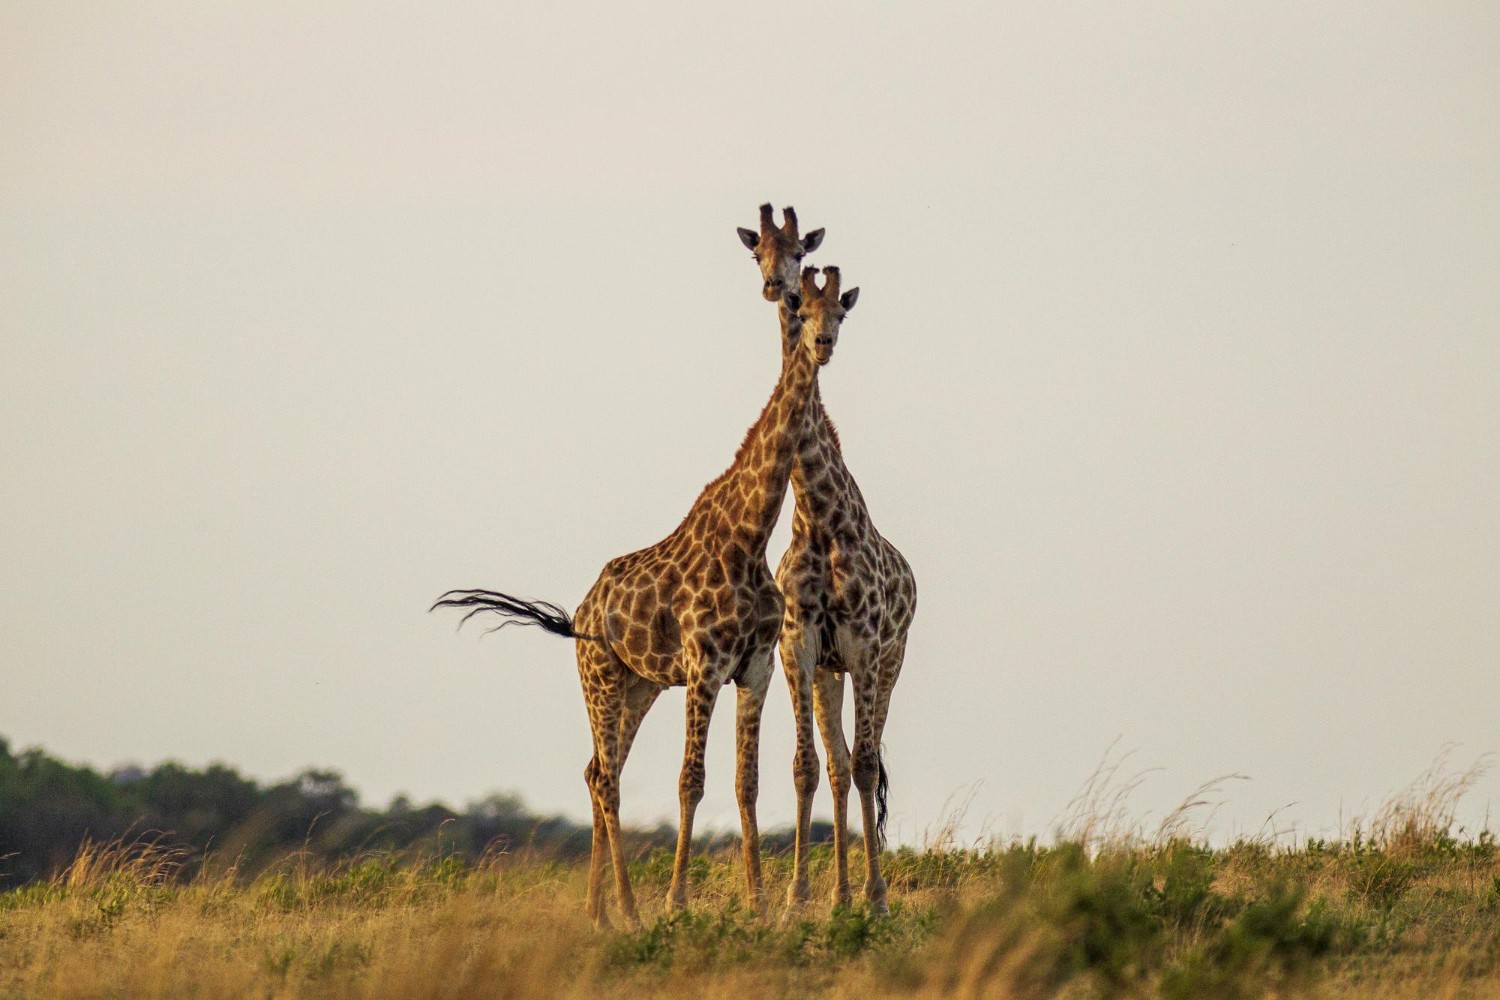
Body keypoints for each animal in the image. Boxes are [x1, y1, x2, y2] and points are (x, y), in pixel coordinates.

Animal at [435, 248, 858, 923]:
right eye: (805, 307)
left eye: (839, 311)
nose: (821, 344)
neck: (749, 535)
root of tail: (579, 616)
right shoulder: (705, 664)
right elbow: (691, 779)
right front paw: (678, 903)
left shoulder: (756, 665)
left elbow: (744, 780)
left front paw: (758, 903)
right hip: (601, 678)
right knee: (607, 778)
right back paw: (629, 911)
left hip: (639, 686)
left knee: (593, 772)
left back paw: (600, 911)